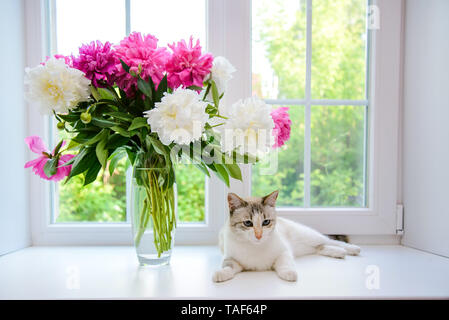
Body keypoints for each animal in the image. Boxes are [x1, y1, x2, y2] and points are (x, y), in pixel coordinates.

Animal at [214, 190, 360, 282]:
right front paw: (220, 274)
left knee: (329, 241)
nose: (259, 235)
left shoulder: (283, 252)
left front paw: (289, 273)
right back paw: (339, 252)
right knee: (320, 247)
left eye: (266, 222)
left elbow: (284, 264)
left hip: (308, 236)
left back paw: (352, 249)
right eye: (248, 223)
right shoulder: (231, 259)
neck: (256, 247)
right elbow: (228, 267)